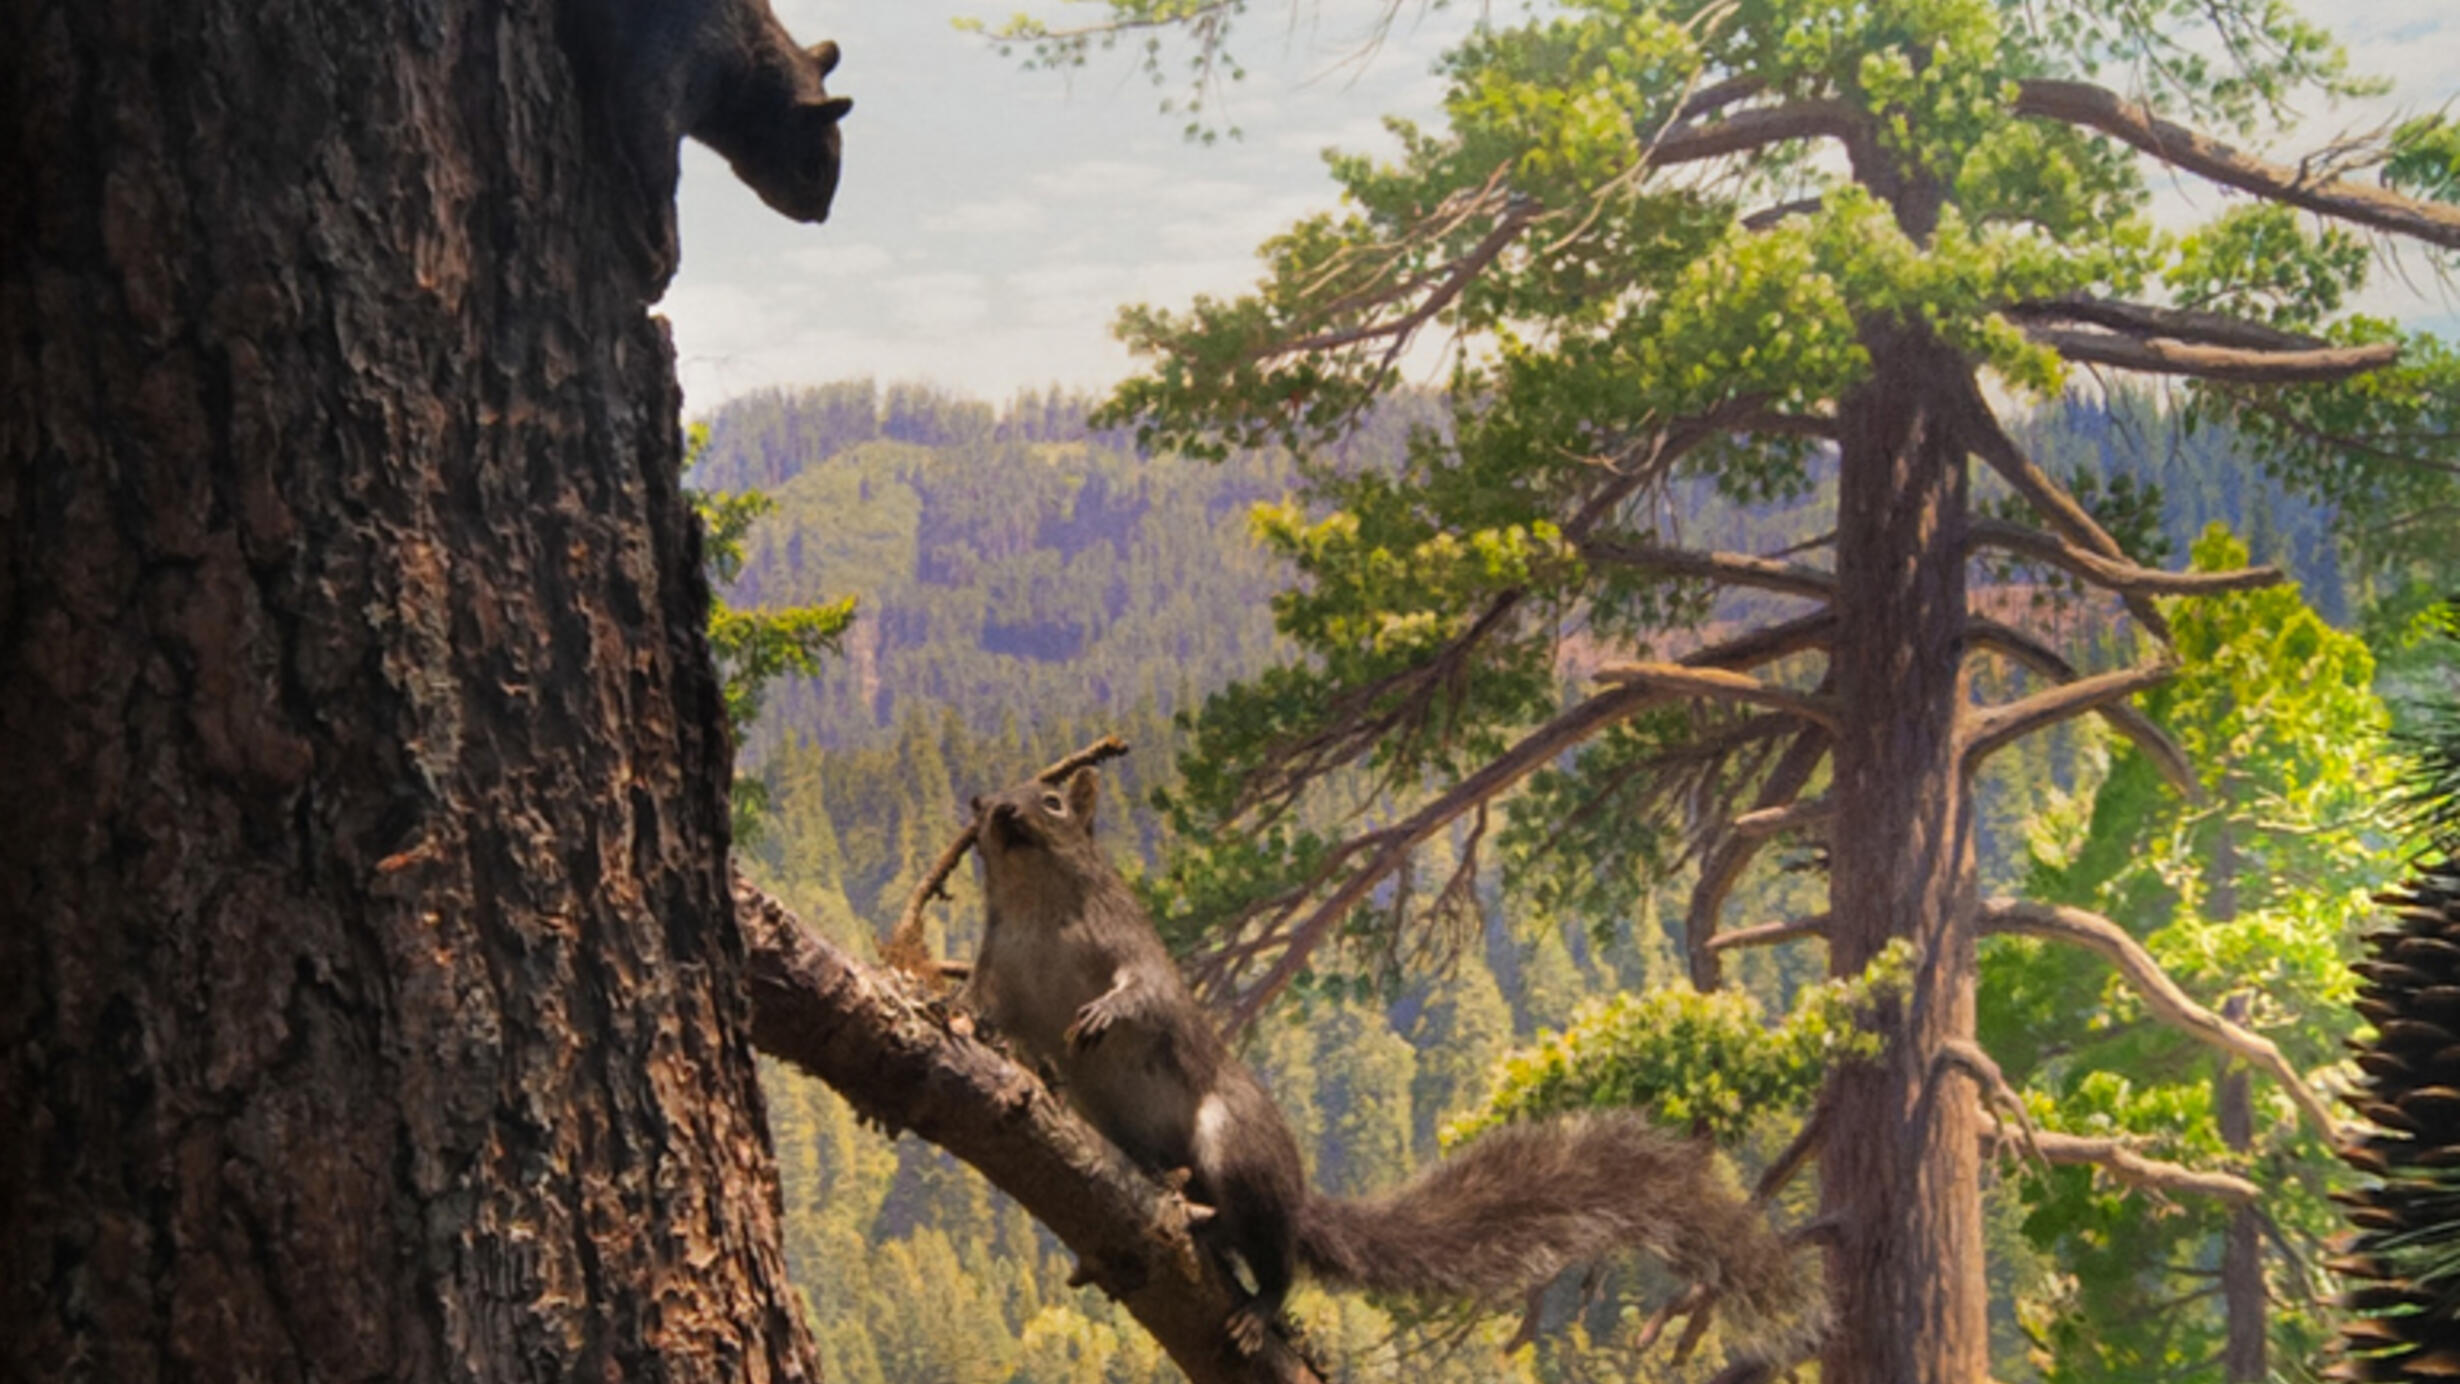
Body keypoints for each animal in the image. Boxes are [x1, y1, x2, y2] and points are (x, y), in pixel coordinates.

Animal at [964, 766, 1830, 1366]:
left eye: (1051, 800)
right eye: (983, 806)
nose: (997, 810)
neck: (1040, 910)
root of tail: (1297, 1196)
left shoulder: (1132, 948)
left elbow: (1143, 994)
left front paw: (1102, 1016)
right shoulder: (1001, 970)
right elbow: (990, 1010)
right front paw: (974, 1031)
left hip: (1235, 1144)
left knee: (1275, 1256)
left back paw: (1256, 1303)